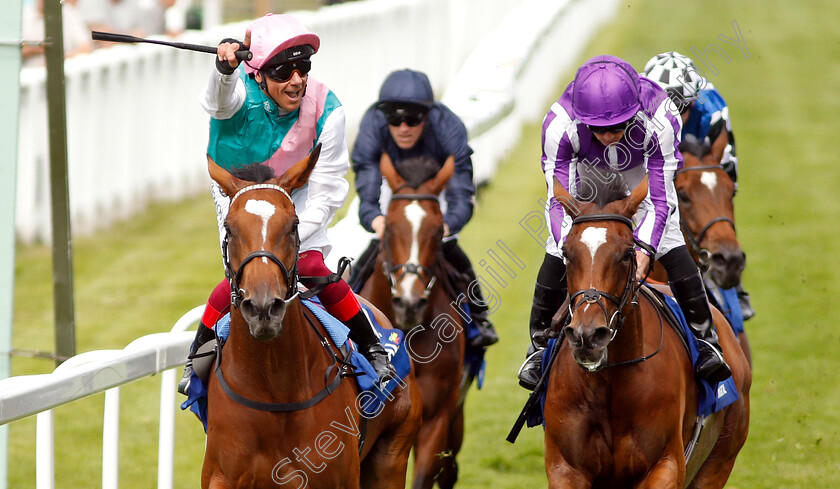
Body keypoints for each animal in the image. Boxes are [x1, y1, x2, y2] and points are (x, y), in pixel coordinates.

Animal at [201, 149, 424, 488]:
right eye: (229, 226)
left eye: (293, 225)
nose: (264, 308)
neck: (273, 389)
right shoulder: (221, 476)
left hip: (392, 454)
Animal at [544, 175, 756, 488]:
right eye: (567, 254)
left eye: (627, 253)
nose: (588, 335)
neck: (608, 381)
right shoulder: (565, 469)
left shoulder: (665, 465)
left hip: (720, 458)